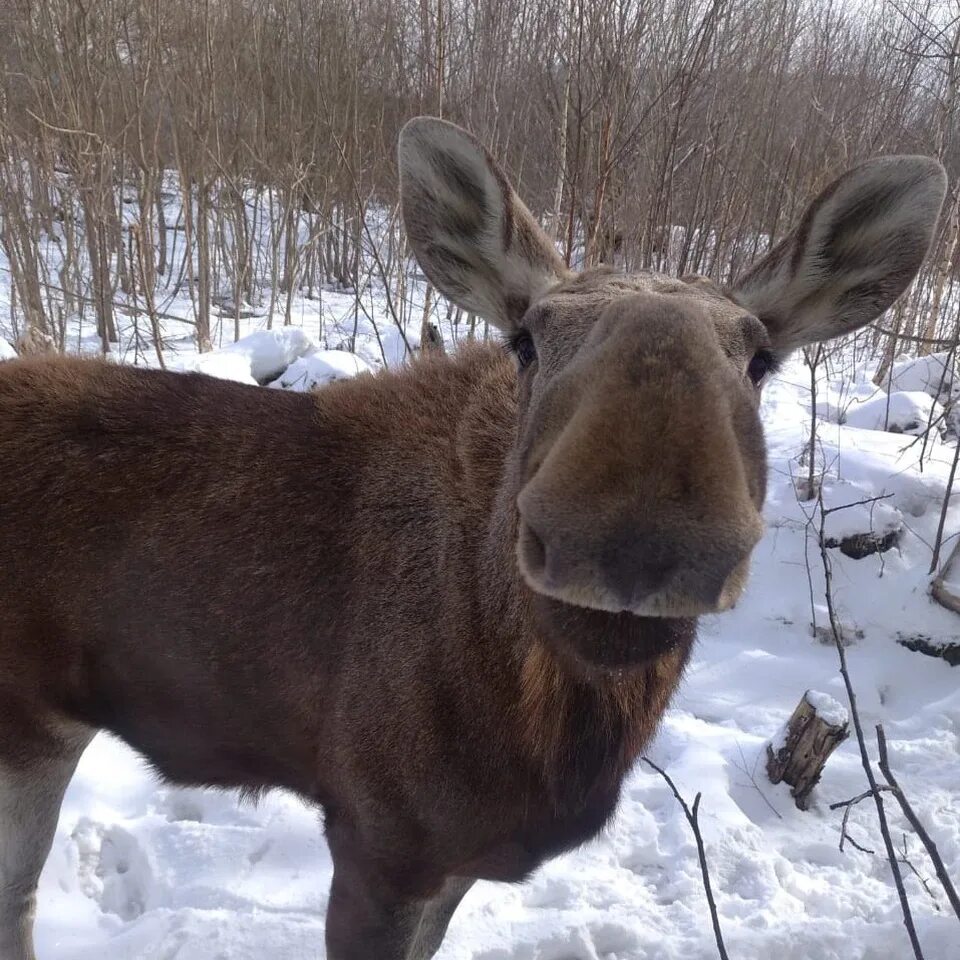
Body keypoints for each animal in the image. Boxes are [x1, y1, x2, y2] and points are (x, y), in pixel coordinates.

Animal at [0, 122, 944, 960]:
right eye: (524, 338)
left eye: (760, 358)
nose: (634, 541)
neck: (533, 730)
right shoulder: (379, 839)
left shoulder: (456, 858)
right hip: (30, 733)